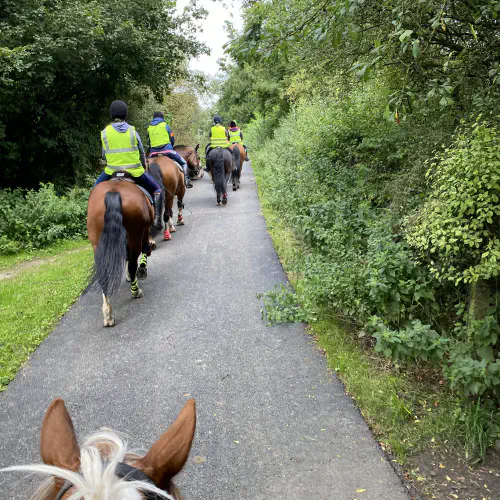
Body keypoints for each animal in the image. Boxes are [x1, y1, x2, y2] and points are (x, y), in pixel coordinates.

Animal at [87, 180, 152, 328]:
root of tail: (113, 191)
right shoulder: (145, 231)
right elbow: (143, 252)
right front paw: (140, 271)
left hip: (97, 243)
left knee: (103, 274)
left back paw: (108, 315)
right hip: (135, 235)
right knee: (133, 263)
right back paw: (135, 291)